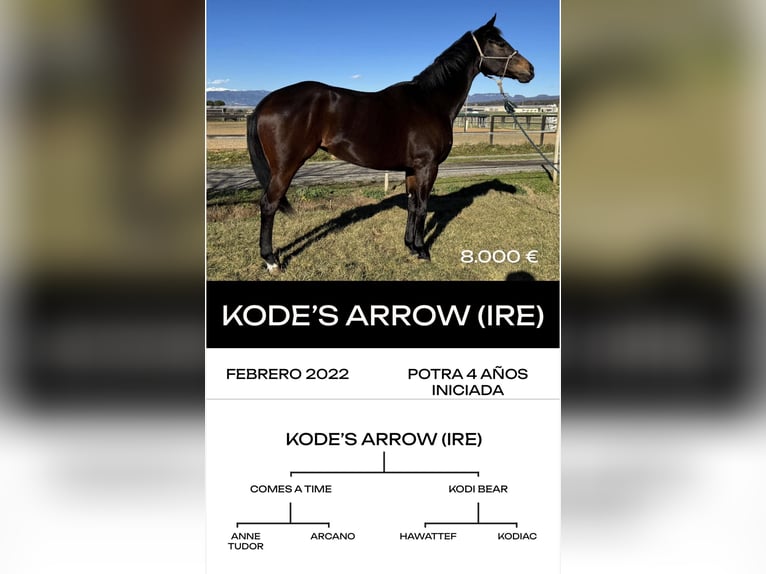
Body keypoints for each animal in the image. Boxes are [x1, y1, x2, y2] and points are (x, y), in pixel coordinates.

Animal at [247, 15, 534, 272]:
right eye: (498, 43)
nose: (530, 70)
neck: (430, 101)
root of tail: (266, 102)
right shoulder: (427, 167)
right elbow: (423, 207)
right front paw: (423, 251)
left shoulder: (411, 169)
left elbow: (412, 205)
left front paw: (410, 245)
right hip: (286, 166)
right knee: (269, 204)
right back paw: (271, 261)